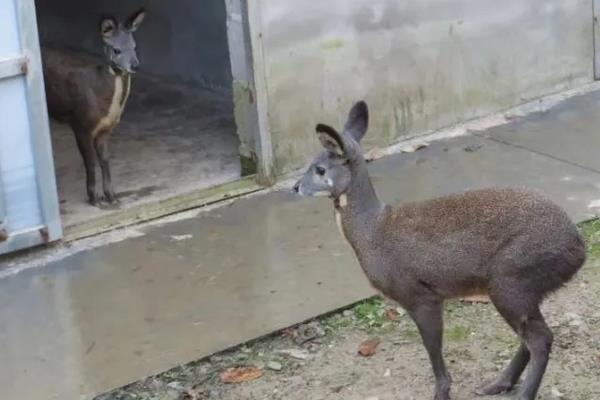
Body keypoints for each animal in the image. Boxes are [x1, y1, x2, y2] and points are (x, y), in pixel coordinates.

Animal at [42, 9, 146, 206]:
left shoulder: (105, 129)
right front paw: (94, 198)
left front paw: (111, 195)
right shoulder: (80, 124)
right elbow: (90, 161)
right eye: (116, 49)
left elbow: (104, 159)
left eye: (135, 46)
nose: (135, 65)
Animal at [294, 101, 584, 398]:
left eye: (319, 169)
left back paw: (520, 392)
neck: (372, 231)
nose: (295, 187)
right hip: (524, 289)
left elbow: (432, 347)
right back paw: (496, 384)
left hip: (512, 279)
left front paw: (442, 391)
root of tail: (578, 246)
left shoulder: (420, 294)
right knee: (531, 338)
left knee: (540, 339)